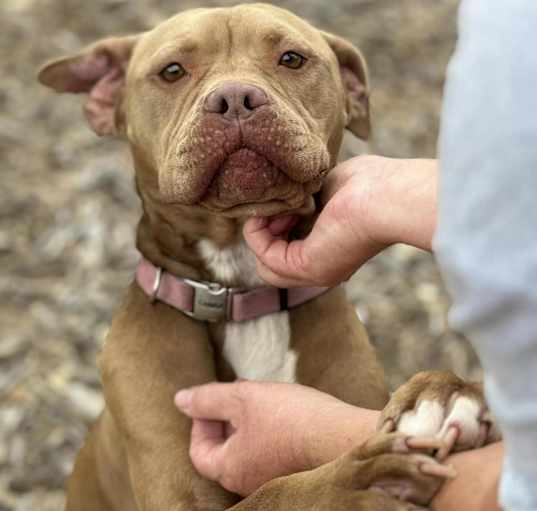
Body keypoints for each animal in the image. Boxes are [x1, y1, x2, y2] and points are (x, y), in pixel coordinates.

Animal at [38, 4, 498, 511]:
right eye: (172, 70)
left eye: (292, 59)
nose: (235, 98)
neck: (241, 295)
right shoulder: (181, 497)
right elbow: (275, 491)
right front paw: (357, 481)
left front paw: (448, 392)